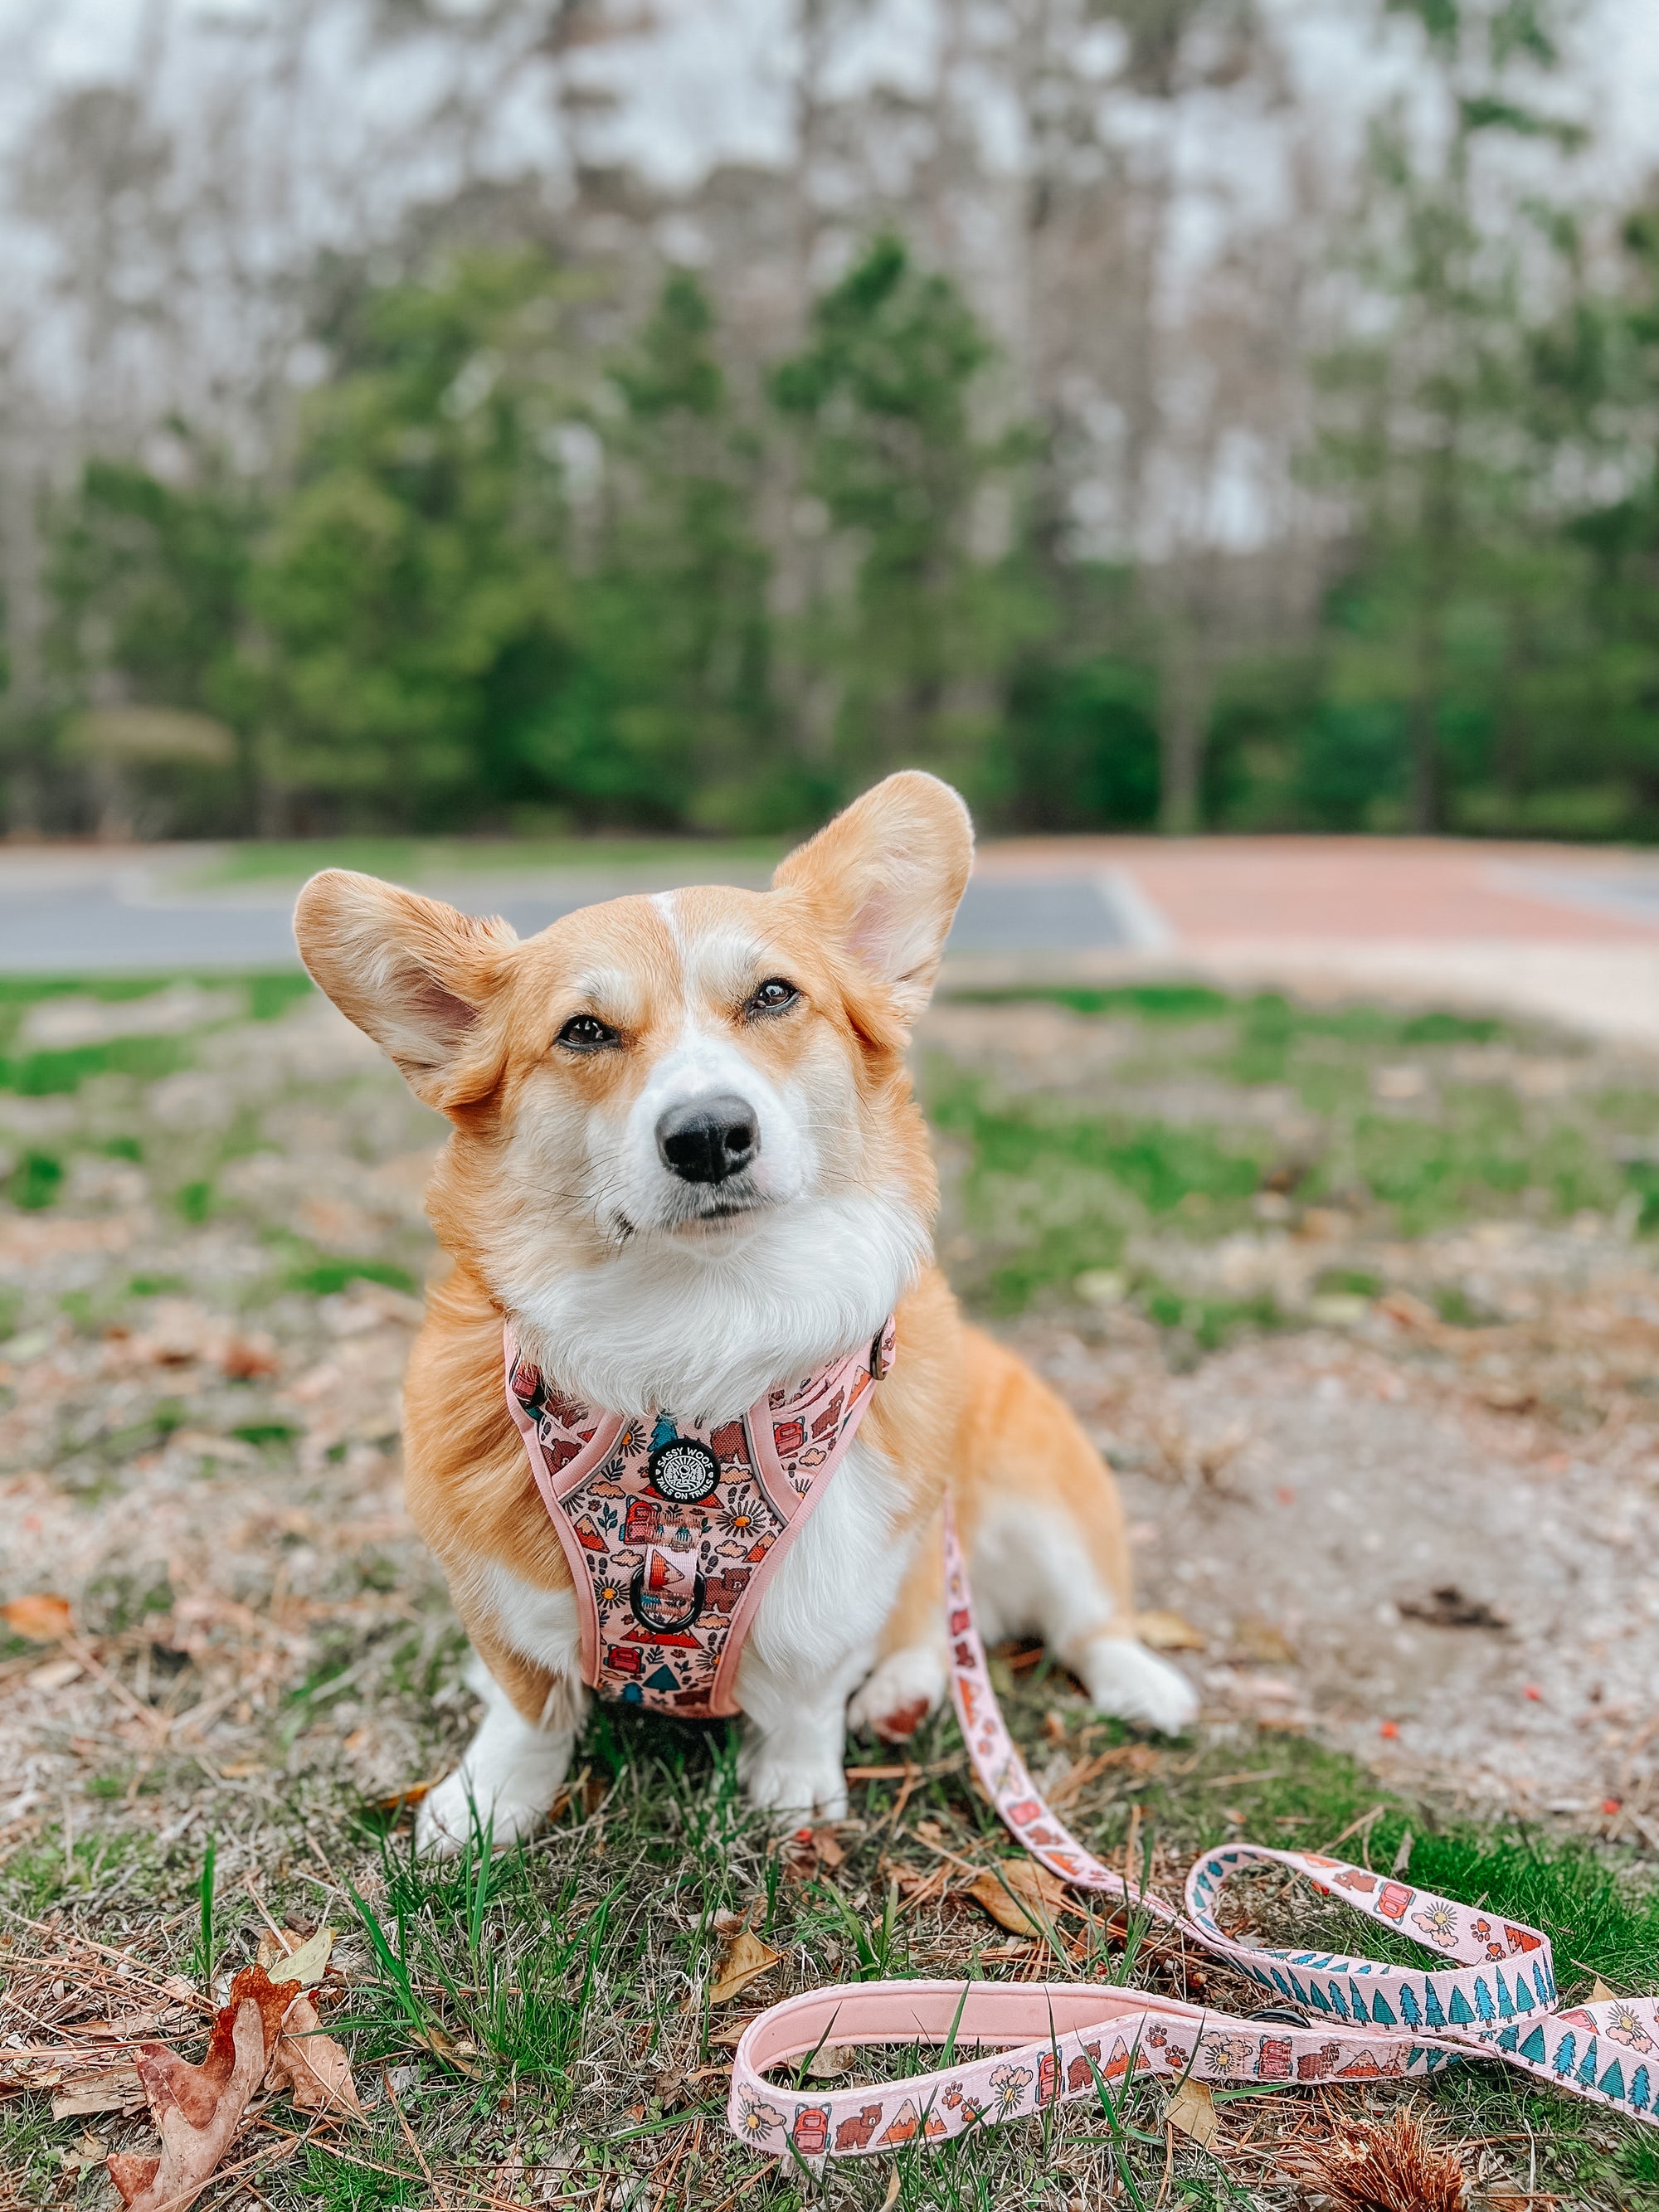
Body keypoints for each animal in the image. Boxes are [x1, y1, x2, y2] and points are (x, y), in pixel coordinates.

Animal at [296, 774, 1194, 1849]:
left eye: (772, 995)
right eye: (584, 1031)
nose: (708, 1134)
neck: (704, 1322)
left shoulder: (840, 1576)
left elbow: (806, 1692)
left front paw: (796, 1790)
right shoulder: (497, 1587)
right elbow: (527, 1706)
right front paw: (486, 1803)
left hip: (1040, 1501)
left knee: (1069, 1621)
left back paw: (1136, 1687)